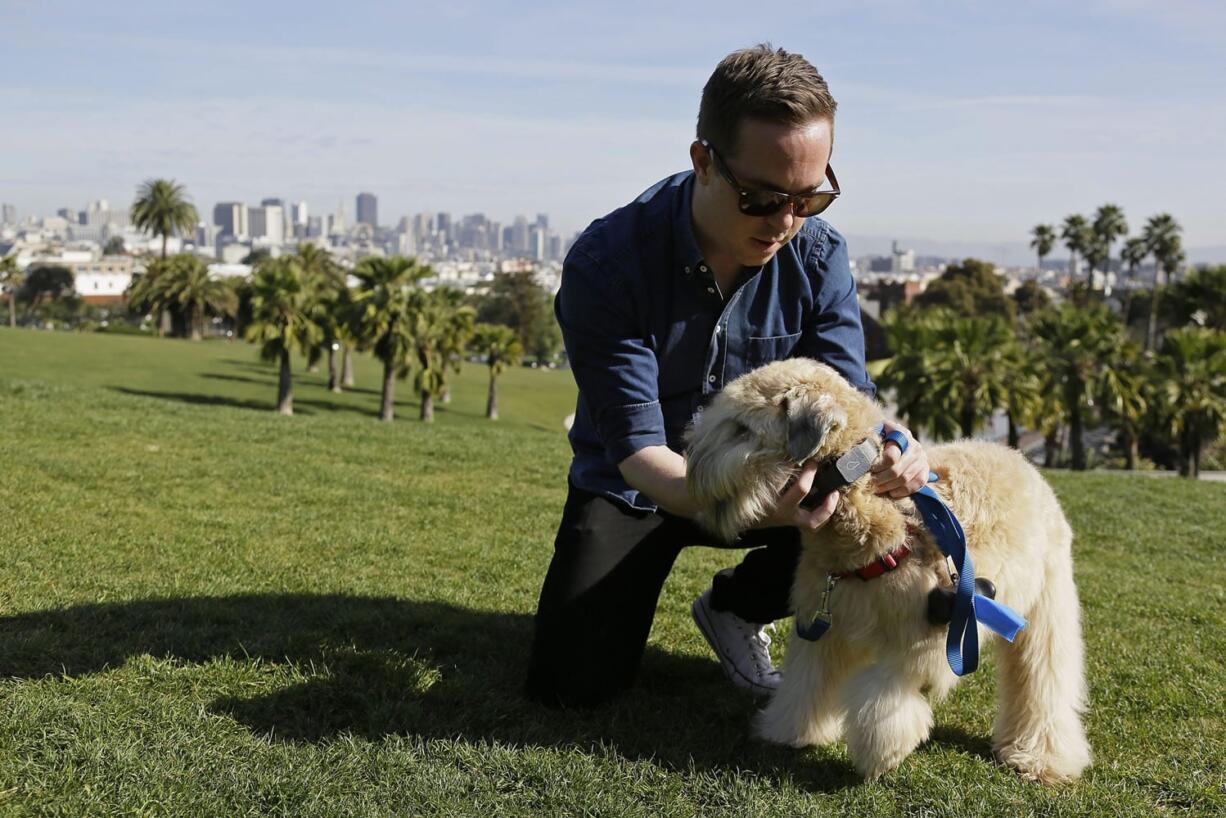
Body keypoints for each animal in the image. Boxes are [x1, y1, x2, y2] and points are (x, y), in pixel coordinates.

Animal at [686, 360, 1098, 784]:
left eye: (741, 429)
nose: (689, 465)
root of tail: (1020, 459)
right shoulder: (823, 628)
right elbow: (805, 684)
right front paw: (790, 731)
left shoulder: (916, 646)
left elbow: (883, 700)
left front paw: (880, 754)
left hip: (1045, 611)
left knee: (1044, 683)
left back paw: (1040, 757)